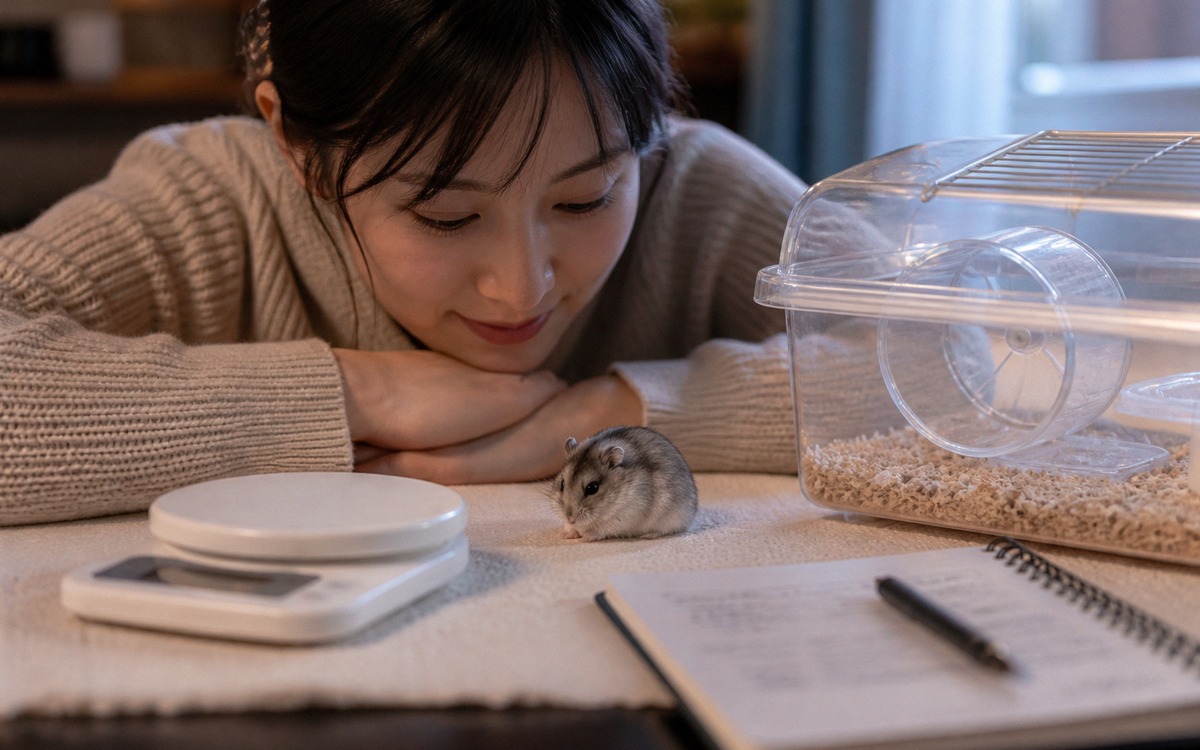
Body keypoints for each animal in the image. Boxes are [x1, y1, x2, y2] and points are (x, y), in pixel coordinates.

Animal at [550, 426, 698, 541]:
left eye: (592, 488)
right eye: (562, 484)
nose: (570, 518)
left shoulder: (626, 515)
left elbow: (602, 529)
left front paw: (586, 536)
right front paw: (566, 534)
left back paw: (648, 535)